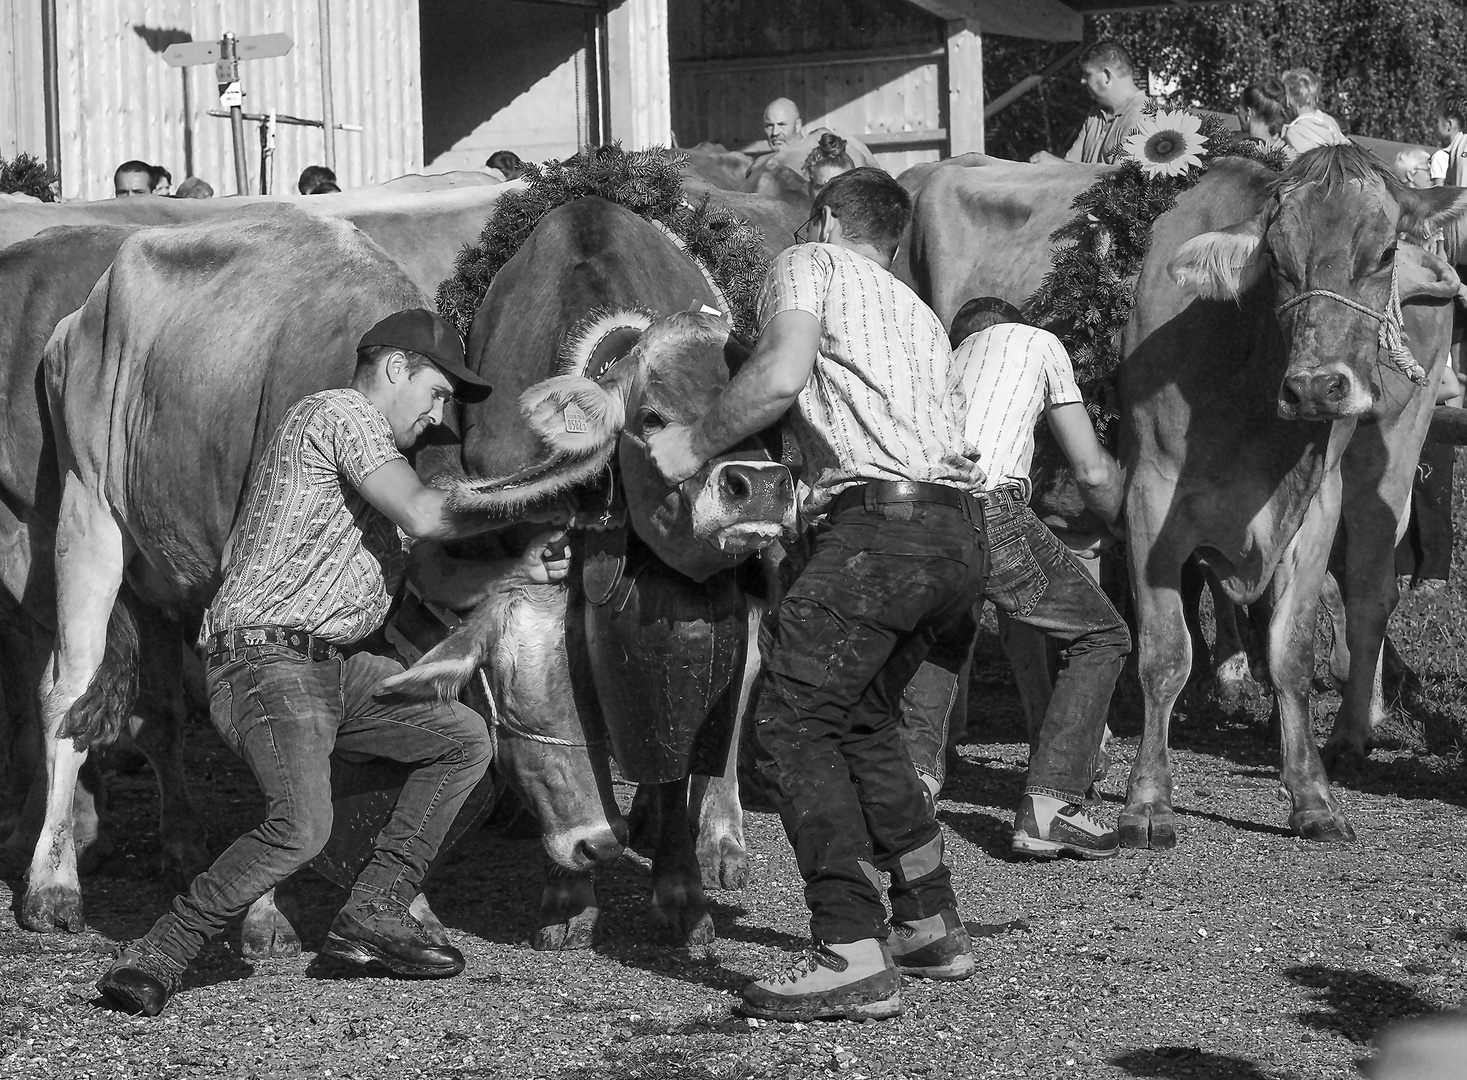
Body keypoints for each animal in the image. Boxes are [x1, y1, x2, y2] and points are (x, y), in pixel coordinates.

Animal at [372, 196, 798, 950]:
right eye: (651, 414)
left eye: (757, 412)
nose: (761, 488)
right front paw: (567, 896)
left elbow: (679, 738)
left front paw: (680, 890)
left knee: (740, 681)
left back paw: (720, 835)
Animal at [909, 145, 1461, 845]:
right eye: (1277, 259)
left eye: (1385, 251)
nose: (1316, 387)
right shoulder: (1151, 500)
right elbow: (1165, 653)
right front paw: (1148, 804)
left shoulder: (1317, 505)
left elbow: (1290, 653)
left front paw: (1312, 798)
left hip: (1387, 460)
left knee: (1368, 591)